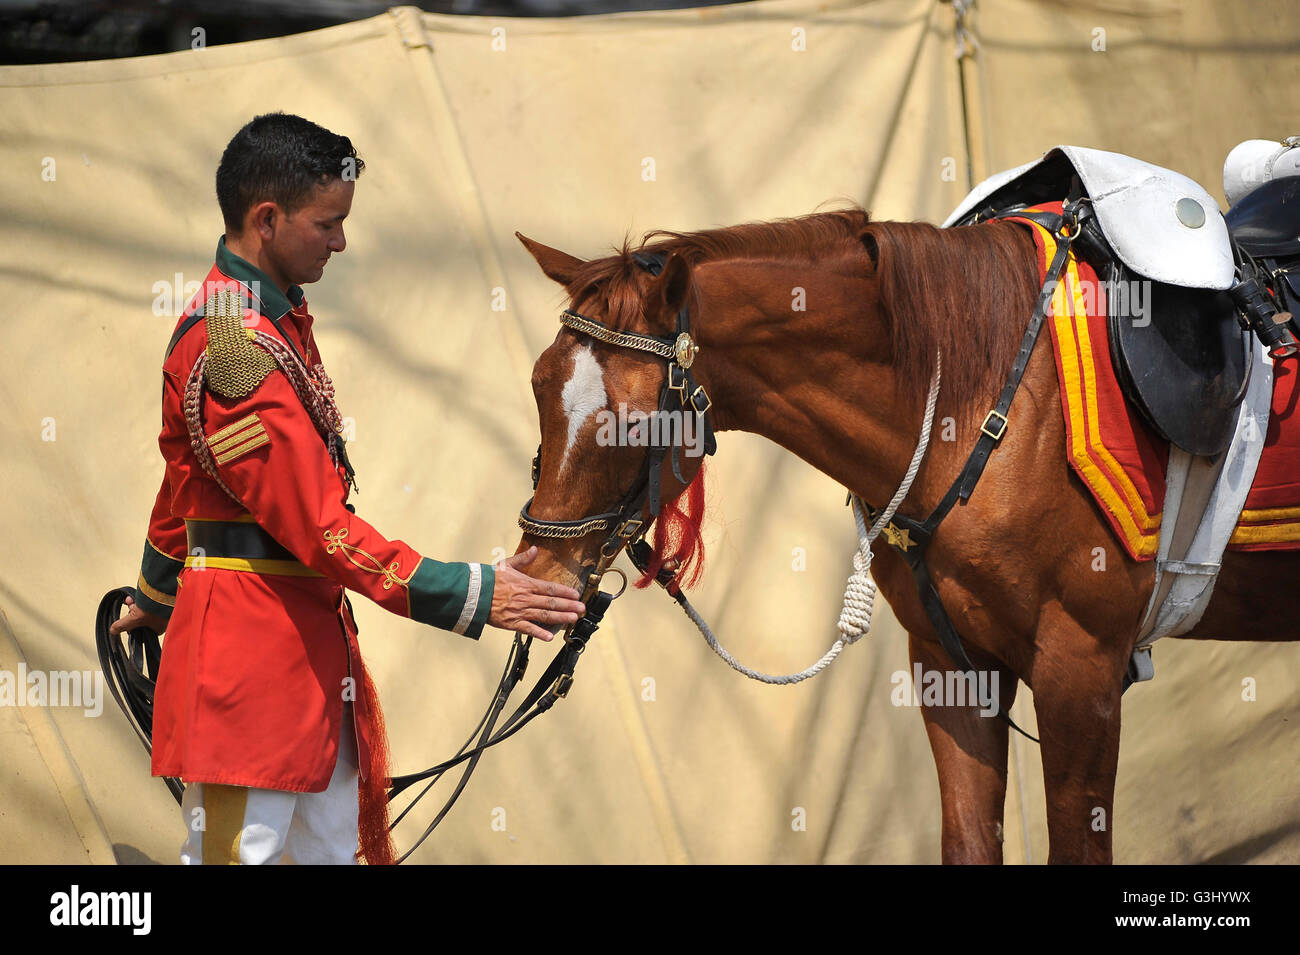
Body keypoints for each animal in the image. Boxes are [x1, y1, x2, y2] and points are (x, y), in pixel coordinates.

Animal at [512, 210, 1294, 867]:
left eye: (631, 420)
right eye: (540, 384)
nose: (537, 571)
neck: (988, 409)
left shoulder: (1084, 670)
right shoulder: (952, 666)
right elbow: (969, 840)